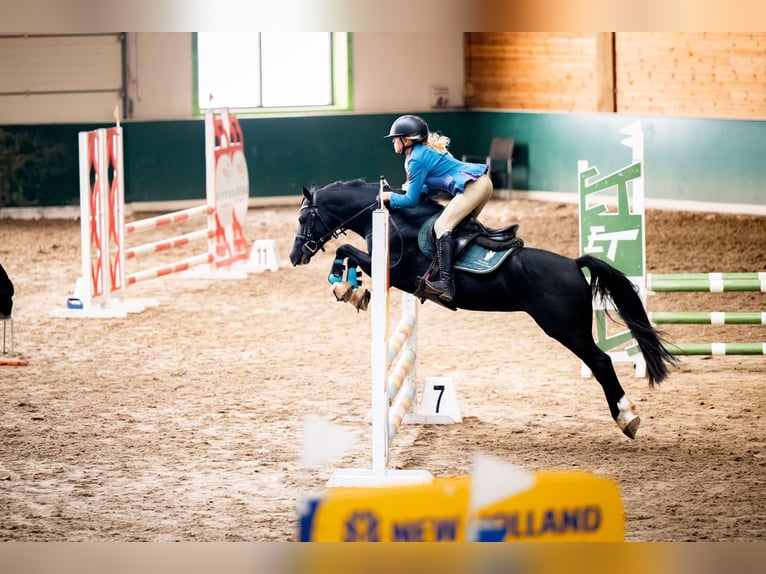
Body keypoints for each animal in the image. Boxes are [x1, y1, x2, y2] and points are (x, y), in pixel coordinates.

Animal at [290, 180, 680, 440]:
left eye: (303, 219)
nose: (295, 257)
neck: (396, 221)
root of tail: (573, 264)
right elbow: (345, 253)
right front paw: (350, 289)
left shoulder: (394, 269)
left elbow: (345, 250)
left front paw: (347, 289)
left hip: (566, 328)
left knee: (601, 362)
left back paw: (626, 418)